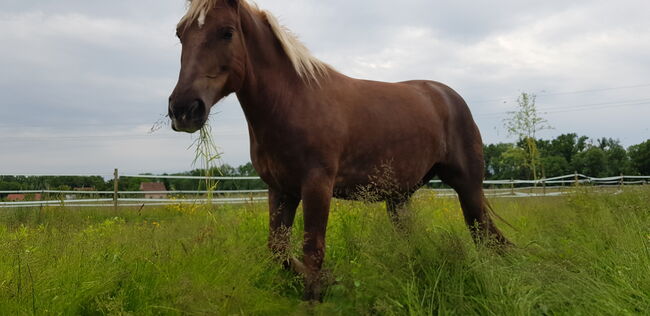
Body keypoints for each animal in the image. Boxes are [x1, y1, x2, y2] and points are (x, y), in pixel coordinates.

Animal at [168, 0, 512, 302]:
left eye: (226, 32)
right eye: (180, 33)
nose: (184, 109)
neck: (292, 100)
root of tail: (448, 95)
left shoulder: (317, 186)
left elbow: (313, 251)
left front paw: (315, 295)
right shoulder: (281, 190)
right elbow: (278, 249)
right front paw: (327, 281)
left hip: (467, 187)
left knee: (486, 237)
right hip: (399, 198)